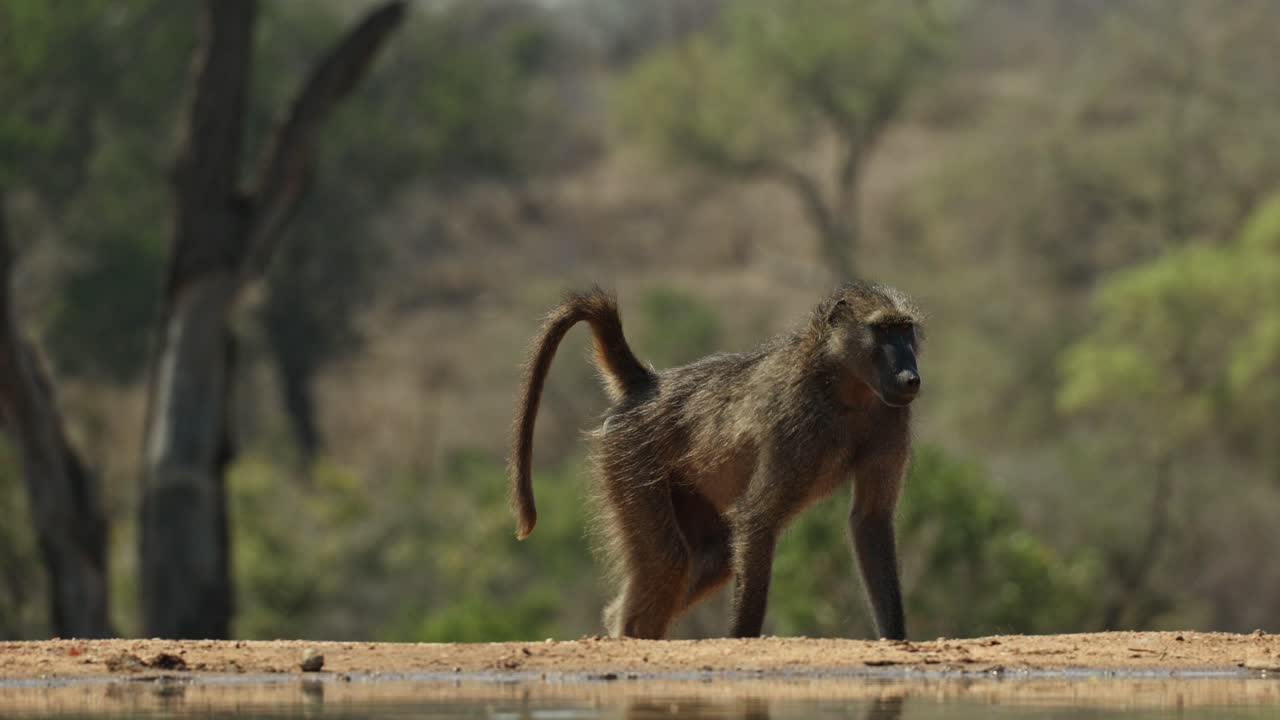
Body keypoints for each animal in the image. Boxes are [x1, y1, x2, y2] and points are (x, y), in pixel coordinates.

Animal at [509, 281, 923, 641]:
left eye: (905, 330)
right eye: (883, 331)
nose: (910, 378)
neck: (843, 381)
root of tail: (648, 385)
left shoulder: (891, 416)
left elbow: (870, 520)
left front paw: (895, 638)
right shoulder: (797, 421)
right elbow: (758, 517)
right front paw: (743, 638)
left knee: (715, 555)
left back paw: (618, 624)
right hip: (631, 457)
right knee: (669, 560)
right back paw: (628, 633)